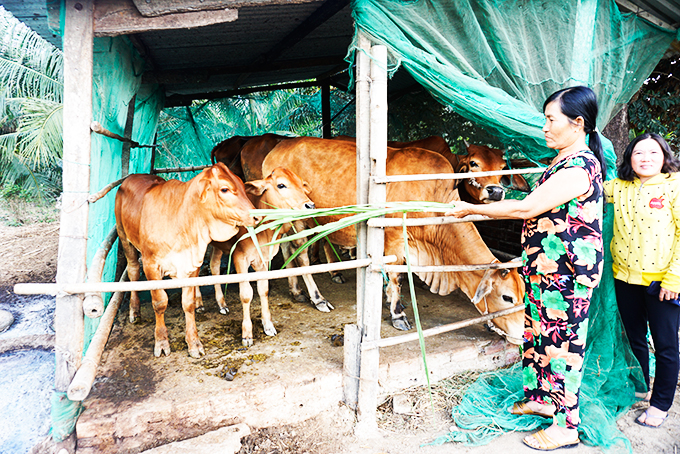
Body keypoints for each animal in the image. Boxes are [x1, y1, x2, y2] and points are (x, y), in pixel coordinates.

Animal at [115, 163, 256, 358]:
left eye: (242, 185)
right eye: (224, 189)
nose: (256, 215)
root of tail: (132, 177)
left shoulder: (192, 264)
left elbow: (187, 304)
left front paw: (194, 343)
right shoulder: (151, 265)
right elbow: (159, 303)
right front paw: (161, 342)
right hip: (124, 238)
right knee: (133, 271)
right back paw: (134, 311)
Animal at [198, 168, 318, 346]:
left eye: (301, 184)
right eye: (281, 185)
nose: (310, 205)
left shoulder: (264, 259)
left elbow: (264, 290)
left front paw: (268, 325)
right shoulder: (240, 258)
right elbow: (246, 294)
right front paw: (247, 333)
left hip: (219, 244)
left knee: (214, 265)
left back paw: (221, 303)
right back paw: (198, 303)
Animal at [262, 137, 524, 342]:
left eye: (504, 167)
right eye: (507, 297)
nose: (522, 335)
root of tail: (276, 150)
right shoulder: (394, 241)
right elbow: (396, 278)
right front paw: (398, 313)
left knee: (287, 249)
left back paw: (296, 291)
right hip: (297, 219)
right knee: (302, 256)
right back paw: (317, 298)